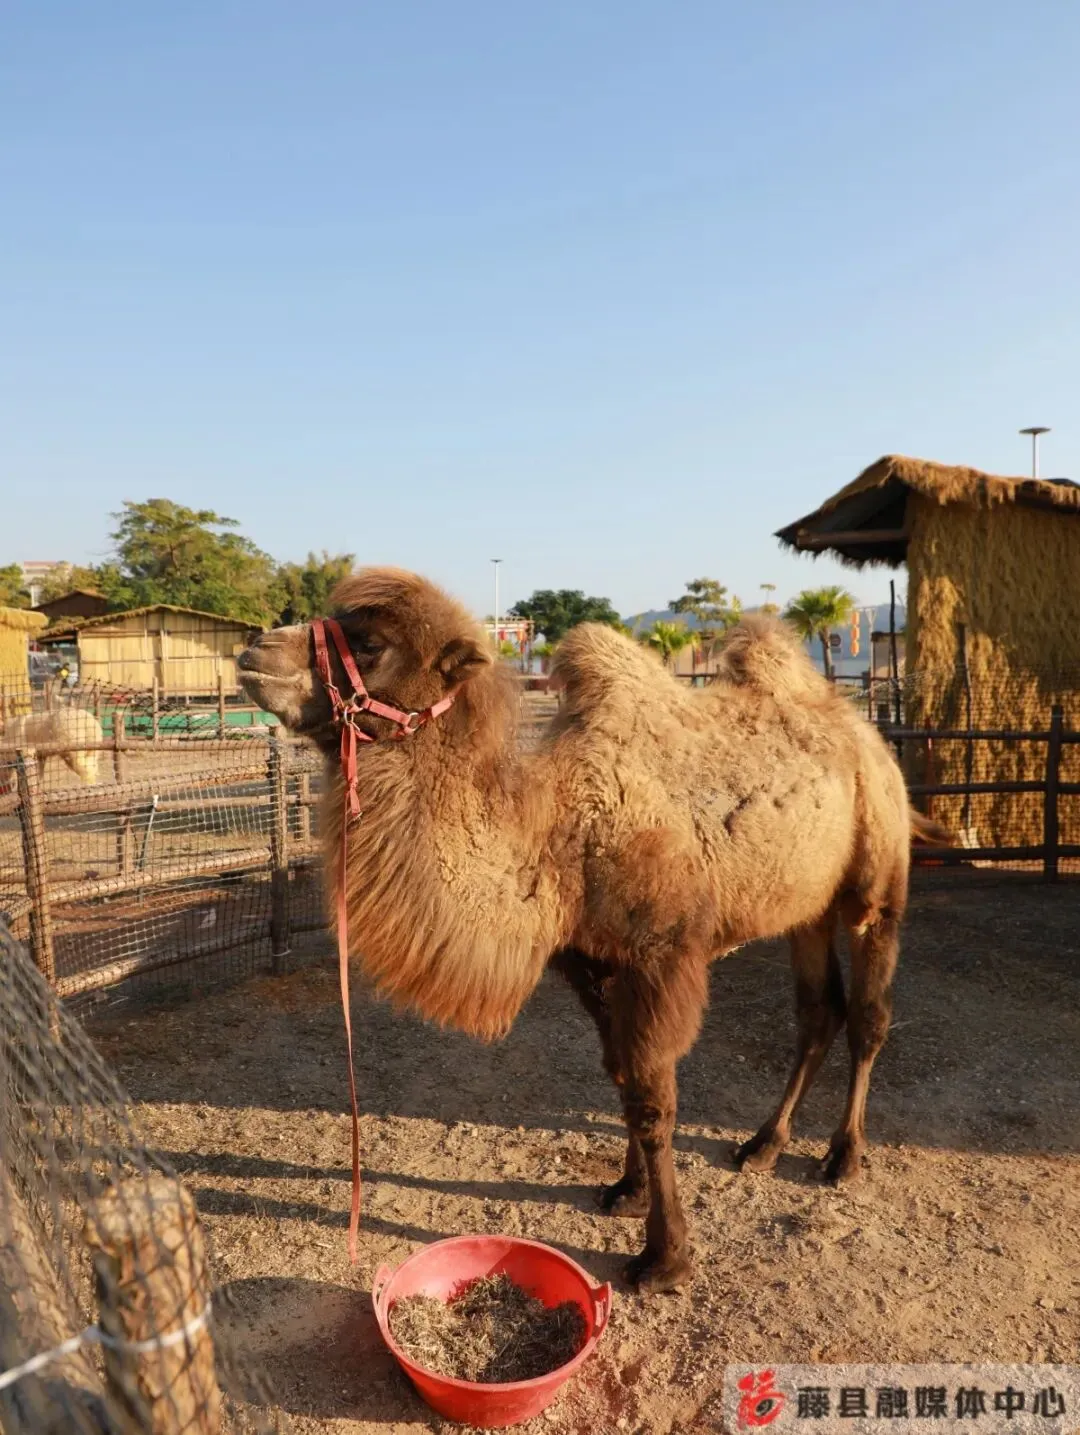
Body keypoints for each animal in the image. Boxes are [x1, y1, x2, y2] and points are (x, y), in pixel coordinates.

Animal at [238, 568, 945, 1293]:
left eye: (372, 641)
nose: (256, 648)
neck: (556, 839)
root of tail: (871, 738)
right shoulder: (592, 960)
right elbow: (621, 1077)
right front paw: (627, 1190)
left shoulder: (660, 956)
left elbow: (653, 1099)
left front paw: (663, 1256)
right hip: (806, 905)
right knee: (816, 1013)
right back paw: (762, 1145)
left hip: (877, 877)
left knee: (867, 1014)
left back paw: (843, 1155)